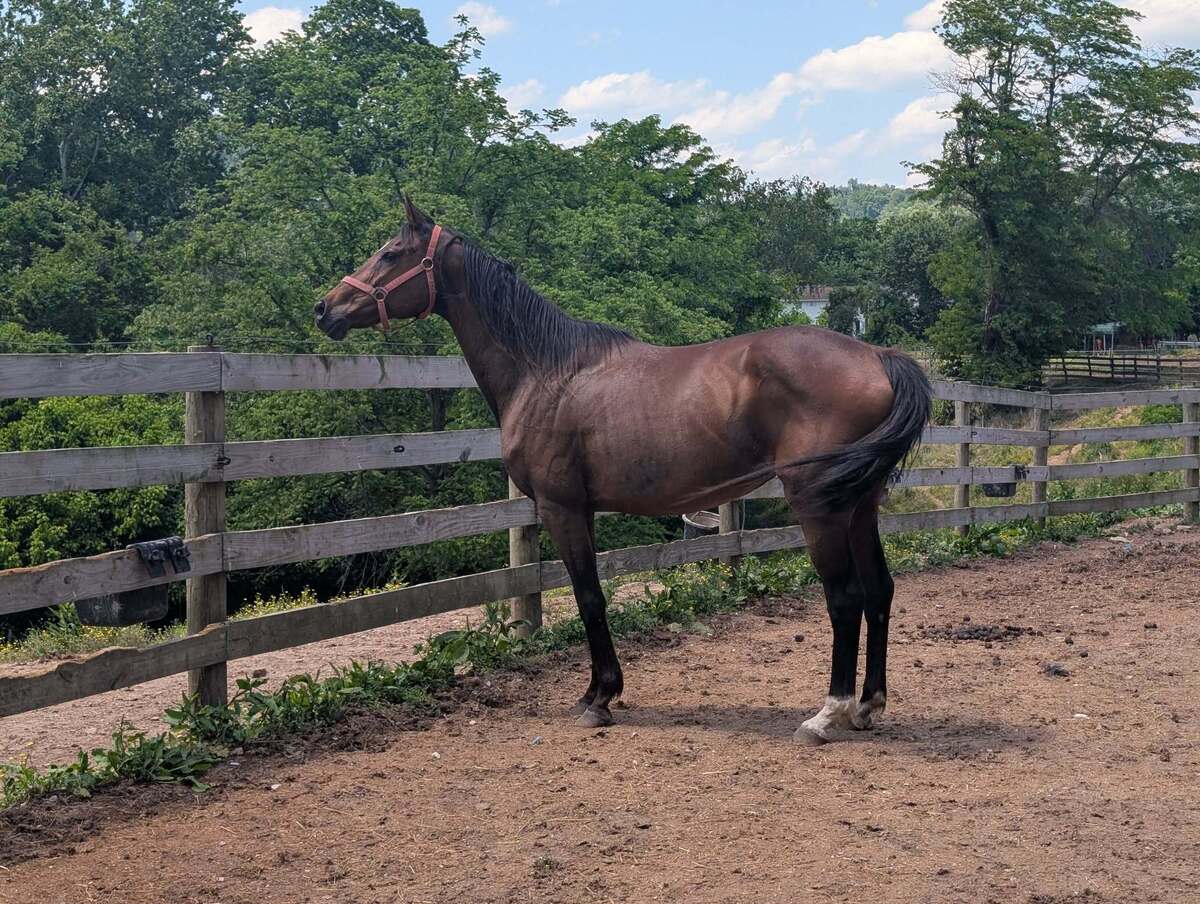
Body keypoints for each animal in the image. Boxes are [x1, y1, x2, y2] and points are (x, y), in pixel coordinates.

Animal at [314, 198, 932, 744]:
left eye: (390, 254)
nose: (326, 309)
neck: (547, 370)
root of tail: (879, 357)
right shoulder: (582, 510)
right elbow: (593, 597)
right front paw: (600, 691)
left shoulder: (561, 509)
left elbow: (589, 597)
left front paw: (600, 698)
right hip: (860, 505)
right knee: (879, 590)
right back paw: (868, 706)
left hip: (820, 508)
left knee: (845, 598)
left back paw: (826, 715)